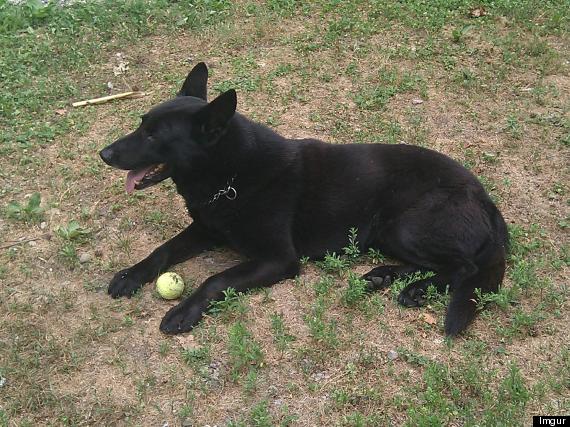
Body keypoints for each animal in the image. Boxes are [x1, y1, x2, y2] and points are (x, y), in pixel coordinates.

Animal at [97, 62, 506, 338]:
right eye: (141, 124)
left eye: (154, 136)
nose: (103, 154)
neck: (231, 175)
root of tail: (484, 198)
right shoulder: (206, 229)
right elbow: (163, 250)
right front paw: (130, 275)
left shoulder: (277, 260)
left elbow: (216, 278)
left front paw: (184, 311)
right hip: (390, 233)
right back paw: (383, 275)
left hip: (404, 225)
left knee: (465, 267)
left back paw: (417, 289)